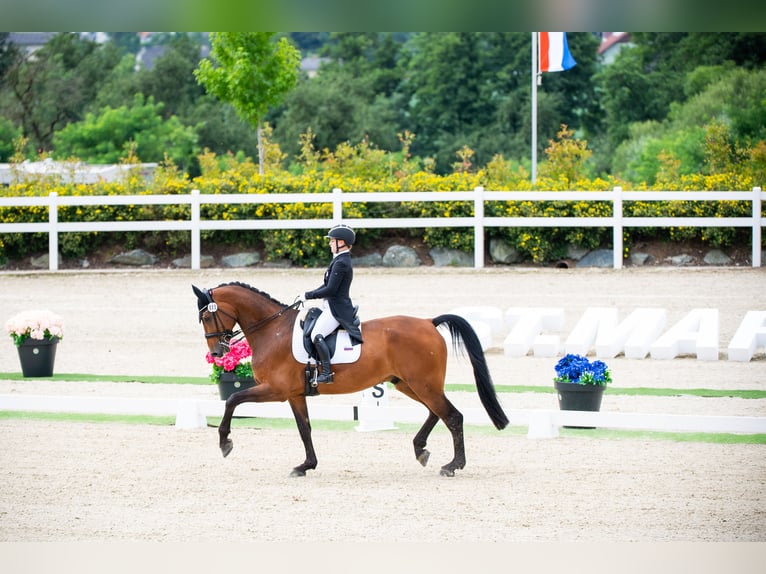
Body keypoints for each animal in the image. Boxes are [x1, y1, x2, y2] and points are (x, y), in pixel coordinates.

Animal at [194, 282, 510, 476]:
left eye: (208, 318)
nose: (217, 352)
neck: (273, 331)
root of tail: (428, 322)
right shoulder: (295, 394)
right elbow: (304, 429)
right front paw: (306, 465)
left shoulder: (276, 390)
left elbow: (233, 399)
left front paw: (224, 443)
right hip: (409, 383)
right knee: (436, 412)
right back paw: (421, 449)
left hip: (423, 383)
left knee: (452, 416)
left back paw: (453, 465)